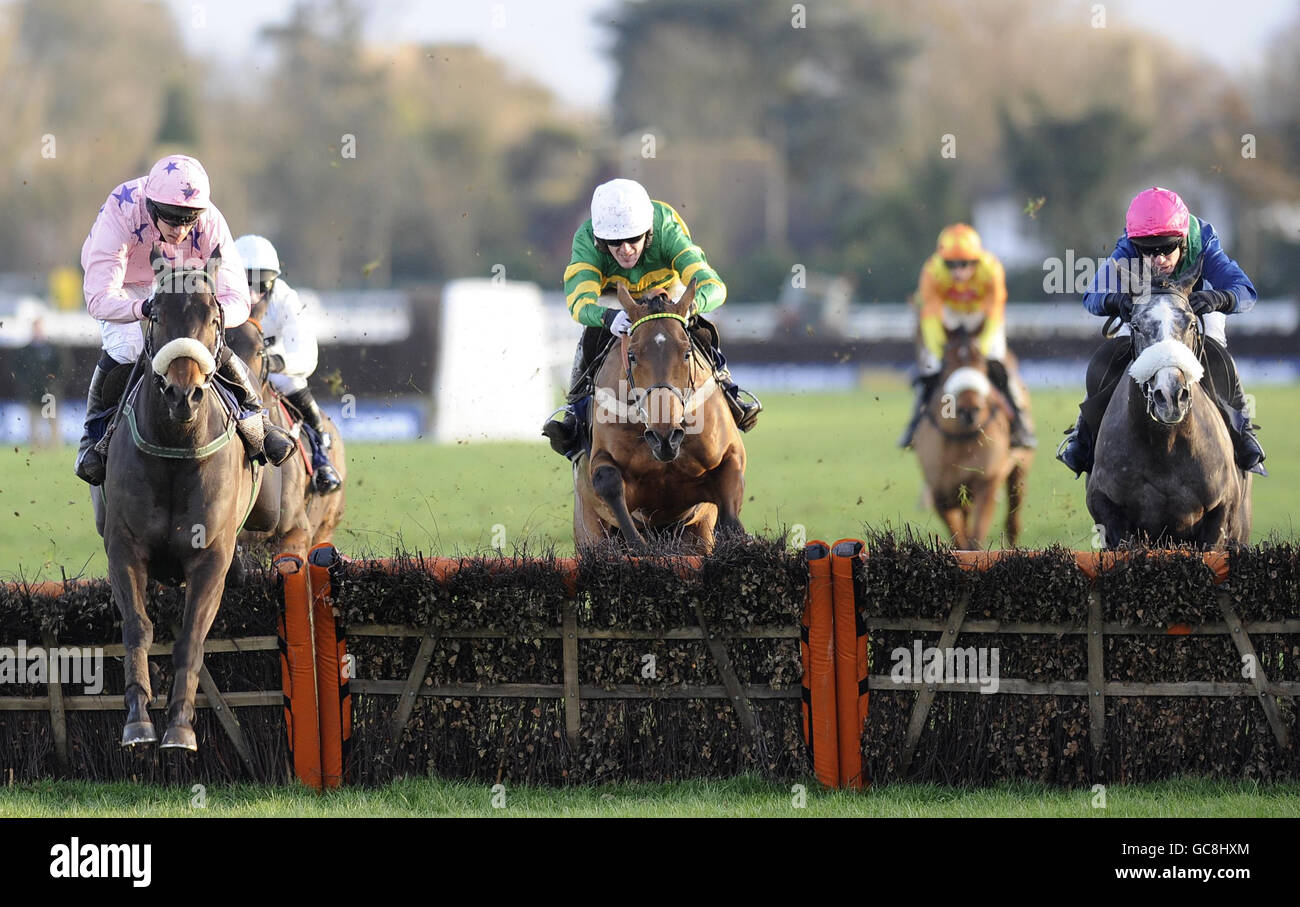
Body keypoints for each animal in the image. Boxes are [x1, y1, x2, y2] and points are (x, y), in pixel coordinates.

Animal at [915, 324, 1034, 550]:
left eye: (980, 361)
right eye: (947, 362)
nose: (969, 410)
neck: (959, 438)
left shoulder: (986, 482)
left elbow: (975, 539)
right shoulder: (940, 493)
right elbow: (960, 539)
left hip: (1019, 468)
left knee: (1013, 519)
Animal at [1086, 257, 1248, 548]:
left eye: (1192, 323)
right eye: (1136, 325)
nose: (1171, 395)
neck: (1165, 445)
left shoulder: (1220, 515)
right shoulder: (1108, 512)